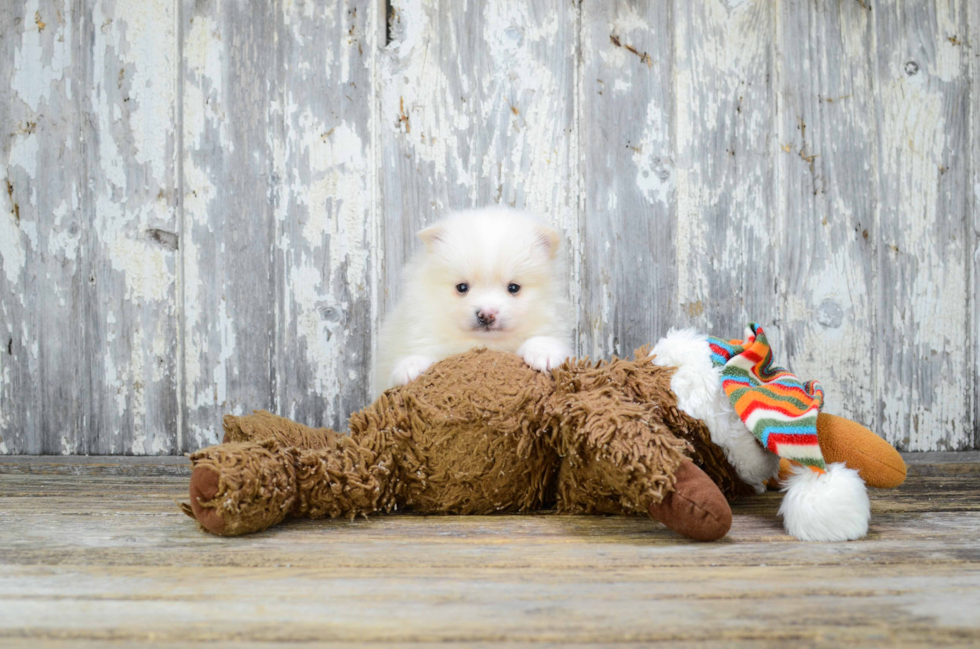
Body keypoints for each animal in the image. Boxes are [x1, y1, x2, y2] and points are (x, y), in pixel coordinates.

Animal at [376, 206, 576, 394]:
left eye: (513, 288)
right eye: (462, 287)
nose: (486, 314)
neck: (484, 344)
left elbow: (543, 339)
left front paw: (543, 352)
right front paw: (411, 366)